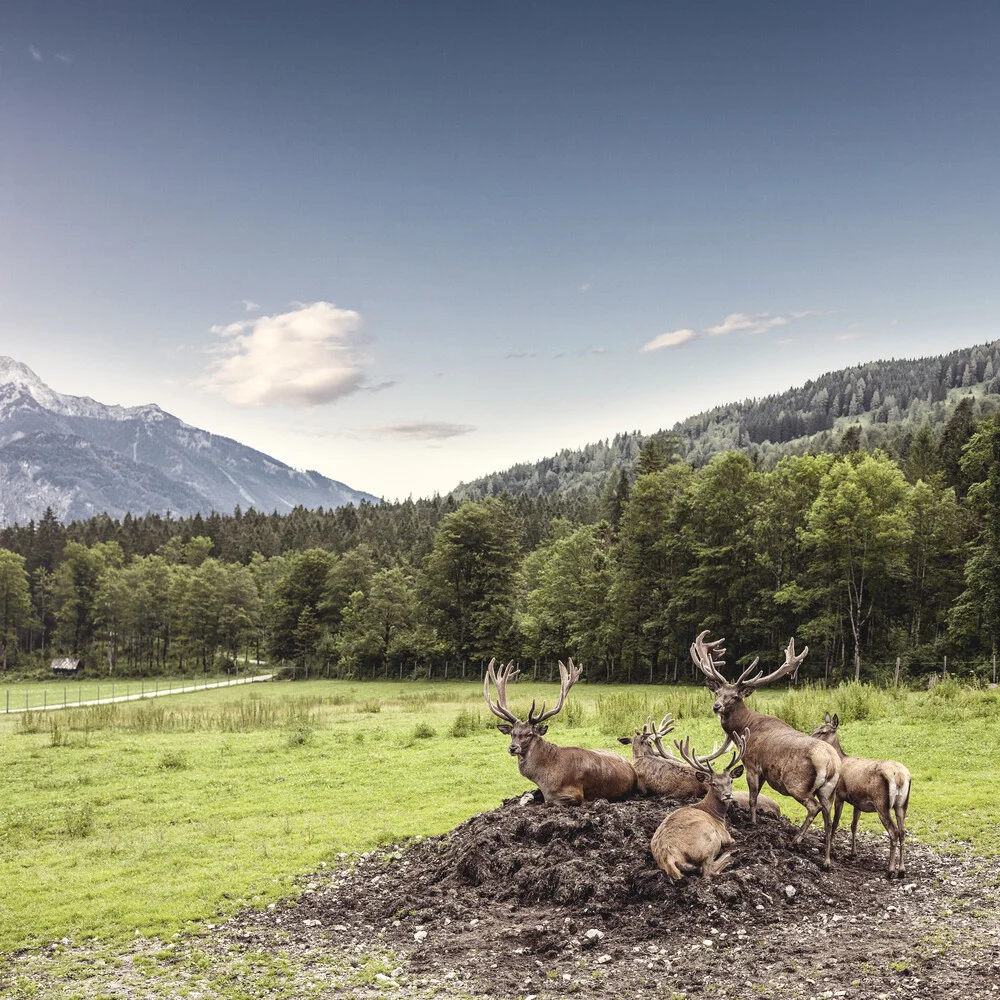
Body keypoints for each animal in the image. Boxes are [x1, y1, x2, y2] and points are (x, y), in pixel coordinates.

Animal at [482, 656, 636, 804]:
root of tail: (631, 766)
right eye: (512, 733)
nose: (513, 748)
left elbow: (549, 802)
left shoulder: (574, 793)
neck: (542, 777)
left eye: (529, 734)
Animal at [648, 728, 752, 884]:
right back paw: (732, 856)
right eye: (713, 783)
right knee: (707, 871)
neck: (716, 815)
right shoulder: (725, 835)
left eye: (731, 781)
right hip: (710, 837)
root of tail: (669, 857)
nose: (727, 795)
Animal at [692, 632, 840, 868]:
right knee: (828, 817)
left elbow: (753, 797)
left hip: (796, 783)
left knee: (813, 808)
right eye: (718, 692)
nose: (716, 707)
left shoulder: (752, 763)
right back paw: (826, 860)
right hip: (829, 790)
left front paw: (752, 823)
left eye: (735, 696)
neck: (746, 726)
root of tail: (831, 762)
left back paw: (795, 841)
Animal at [812, 712, 916, 876]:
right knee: (902, 831)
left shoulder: (839, 794)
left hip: (882, 803)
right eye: (815, 728)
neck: (842, 759)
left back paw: (890, 870)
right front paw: (853, 853)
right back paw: (902, 870)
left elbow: (835, 823)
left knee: (893, 831)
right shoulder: (858, 801)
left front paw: (831, 850)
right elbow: (854, 825)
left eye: (824, 731)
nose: (810, 737)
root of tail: (900, 776)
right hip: (902, 804)